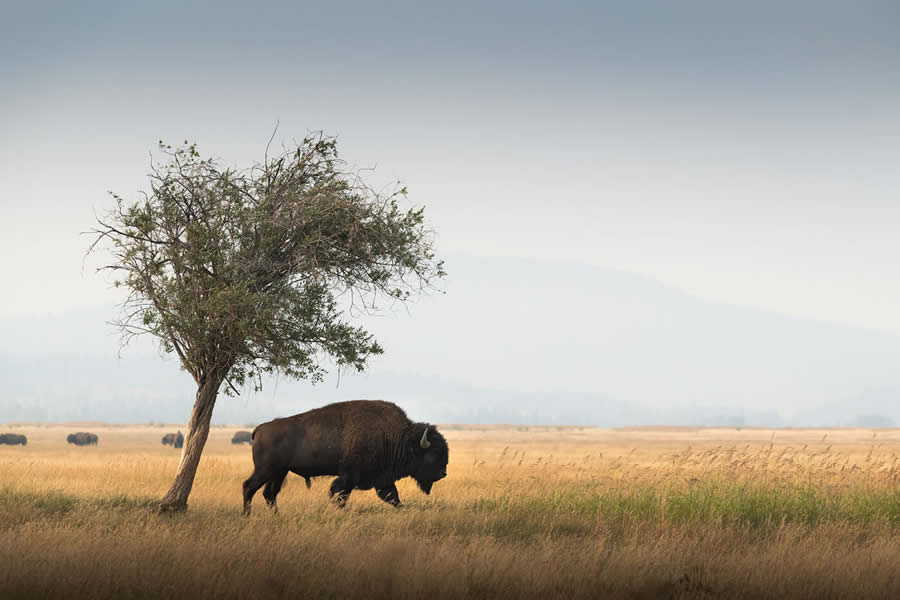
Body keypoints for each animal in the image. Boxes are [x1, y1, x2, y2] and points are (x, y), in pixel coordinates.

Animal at [241, 400, 448, 512]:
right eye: (432, 455)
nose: (443, 474)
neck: (395, 438)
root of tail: (259, 429)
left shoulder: (383, 479)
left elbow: (393, 497)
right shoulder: (349, 476)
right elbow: (339, 495)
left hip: (279, 472)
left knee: (269, 493)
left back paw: (277, 515)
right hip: (265, 470)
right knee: (249, 487)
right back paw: (246, 516)